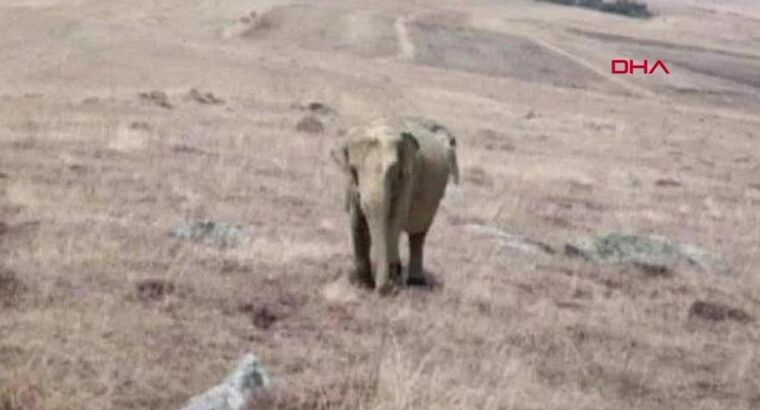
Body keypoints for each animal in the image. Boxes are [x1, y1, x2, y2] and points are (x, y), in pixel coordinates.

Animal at [331, 116, 459, 294]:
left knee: (418, 234)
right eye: (353, 169)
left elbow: (394, 219)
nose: (382, 289)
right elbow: (357, 222)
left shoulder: (408, 176)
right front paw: (363, 286)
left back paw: (415, 282)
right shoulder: (351, 184)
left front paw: (391, 283)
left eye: (393, 170)